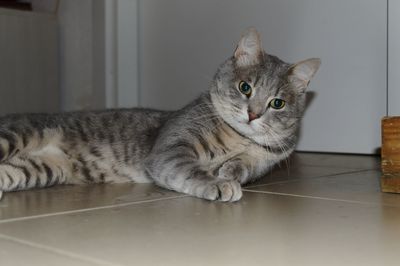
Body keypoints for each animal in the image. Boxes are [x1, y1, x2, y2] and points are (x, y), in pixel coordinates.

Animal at [0, 28, 320, 202]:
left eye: (277, 103)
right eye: (245, 87)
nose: (253, 115)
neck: (238, 139)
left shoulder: (264, 161)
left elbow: (245, 167)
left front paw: (229, 171)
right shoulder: (171, 149)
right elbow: (191, 169)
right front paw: (218, 183)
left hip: (40, 168)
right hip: (17, 135)